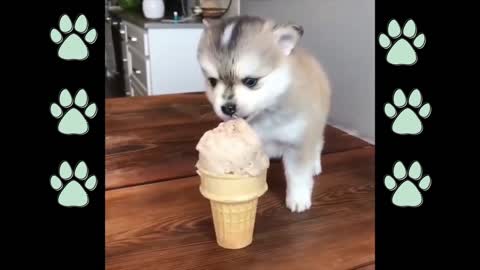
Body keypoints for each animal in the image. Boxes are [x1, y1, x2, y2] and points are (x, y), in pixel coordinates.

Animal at [197, 15, 332, 213]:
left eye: (251, 81)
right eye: (212, 81)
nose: (227, 108)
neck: (266, 116)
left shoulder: (298, 142)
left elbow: (298, 175)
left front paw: (298, 199)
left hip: (317, 123)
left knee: (318, 144)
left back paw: (315, 164)